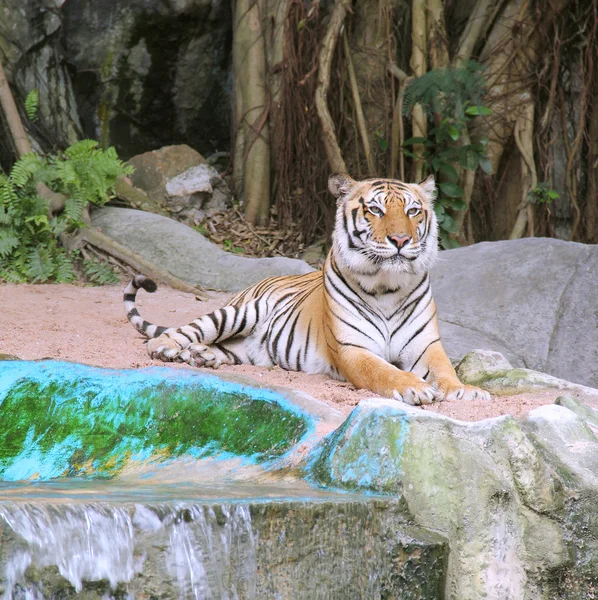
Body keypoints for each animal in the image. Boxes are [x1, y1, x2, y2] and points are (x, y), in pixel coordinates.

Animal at [124, 175, 490, 408]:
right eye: (375, 210)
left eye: (413, 211)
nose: (400, 240)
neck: (387, 285)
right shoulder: (353, 349)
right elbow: (384, 371)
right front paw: (415, 388)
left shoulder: (426, 345)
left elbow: (445, 370)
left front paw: (465, 391)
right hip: (238, 312)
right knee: (182, 331)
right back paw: (169, 349)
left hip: (246, 348)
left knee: (222, 348)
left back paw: (202, 356)